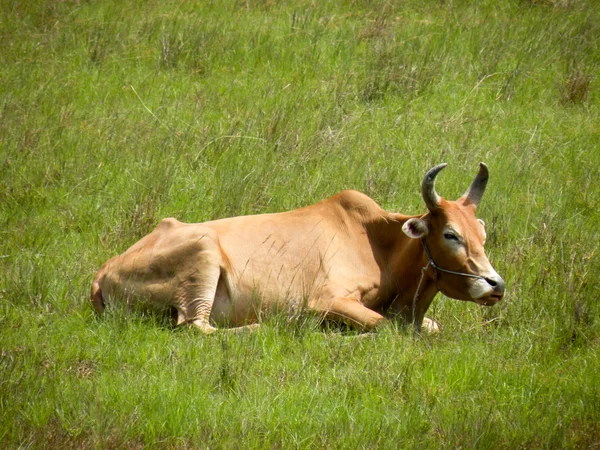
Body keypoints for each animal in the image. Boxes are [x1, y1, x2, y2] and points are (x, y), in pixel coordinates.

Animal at [92, 163, 506, 332]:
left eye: (481, 234)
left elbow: (428, 327)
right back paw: (260, 328)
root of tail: (102, 272)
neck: (378, 244)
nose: (496, 285)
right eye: (450, 234)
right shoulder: (327, 301)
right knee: (197, 327)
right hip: (204, 256)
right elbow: (386, 328)